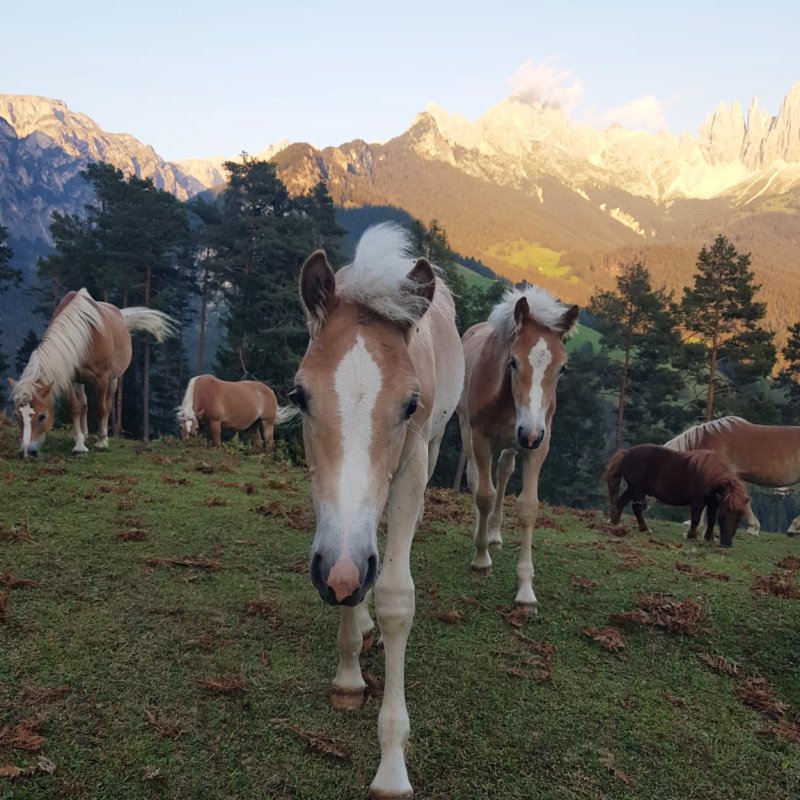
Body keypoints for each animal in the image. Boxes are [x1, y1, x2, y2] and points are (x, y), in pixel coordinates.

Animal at [9, 290, 175, 460]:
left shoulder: (102, 378)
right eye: (17, 415)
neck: (85, 336)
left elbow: (101, 408)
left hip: (113, 380)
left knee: (107, 406)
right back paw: (84, 434)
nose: (26, 452)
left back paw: (104, 437)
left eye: (42, 416)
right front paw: (79, 445)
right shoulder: (70, 378)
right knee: (84, 404)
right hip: (81, 381)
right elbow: (75, 408)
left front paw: (101, 442)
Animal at [290, 223, 462, 800]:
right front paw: (348, 676)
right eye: (299, 395)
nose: (346, 571)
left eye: (409, 404)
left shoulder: (411, 464)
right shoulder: (326, 495)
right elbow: (343, 563)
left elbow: (394, 596)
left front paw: (391, 767)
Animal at [456, 286, 576, 608]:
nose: (530, 433)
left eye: (562, 368)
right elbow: (484, 495)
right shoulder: (481, 438)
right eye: (513, 361)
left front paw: (525, 590)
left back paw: (494, 534)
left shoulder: (538, 445)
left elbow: (527, 507)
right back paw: (481, 535)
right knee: (476, 479)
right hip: (468, 430)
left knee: (503, 471)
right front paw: (481, 560)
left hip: (513, 443)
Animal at [608, 440, 752, 548]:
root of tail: (626, 453)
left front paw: (709, 538)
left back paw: (616, 524)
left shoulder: (714, 501)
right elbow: (696, 518)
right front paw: (691, 536)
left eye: (739, 518)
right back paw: (644, 528)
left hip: (632, 489)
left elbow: (711, 519)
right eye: (722, 517)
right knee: (636, 507)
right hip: (639, 490)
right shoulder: (699, 501)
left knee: (620, 502)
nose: (727, 544)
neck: (711, 475)